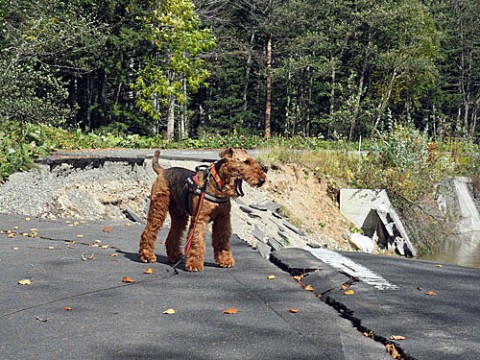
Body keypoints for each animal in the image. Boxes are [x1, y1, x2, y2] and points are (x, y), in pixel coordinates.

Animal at [138, 148, 266, 270]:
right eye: (246, 162)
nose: (262, 180)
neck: (218, 186)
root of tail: (163, 171)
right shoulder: (200, 219)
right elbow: (197, 241)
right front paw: (194, 264)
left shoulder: (223, 219)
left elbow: (222, 240)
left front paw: (225, 260)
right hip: (158, 208)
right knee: (149, 231)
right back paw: (147, 256)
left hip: (179, 215)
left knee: (172, 236)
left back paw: (175, 257)